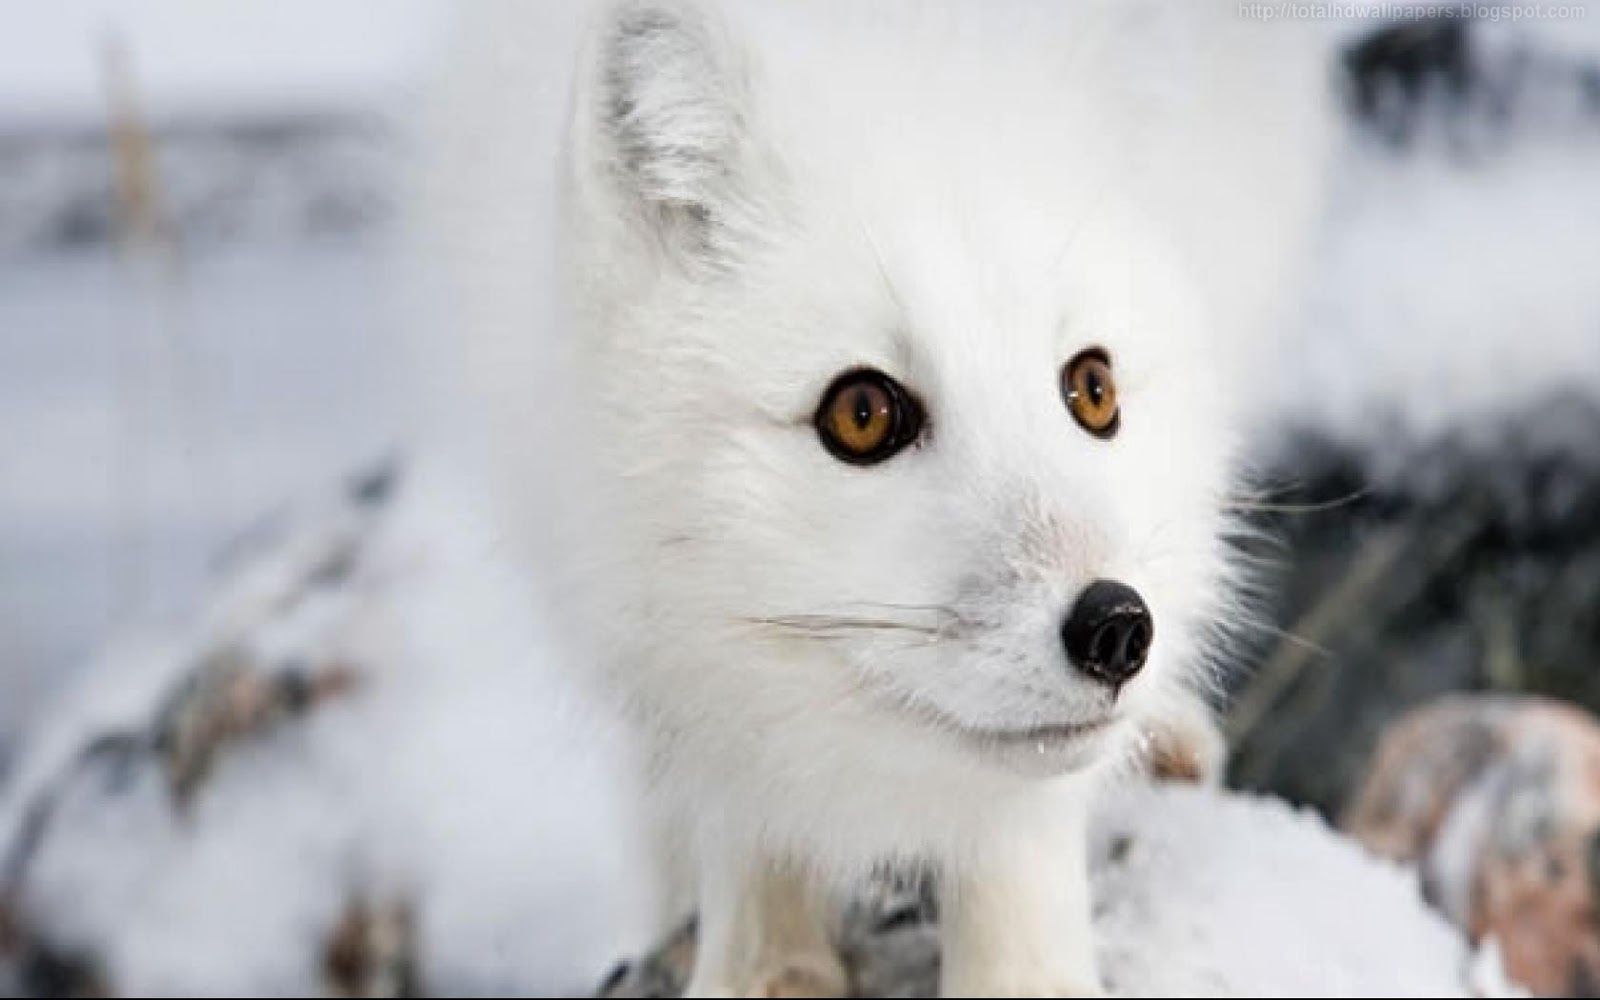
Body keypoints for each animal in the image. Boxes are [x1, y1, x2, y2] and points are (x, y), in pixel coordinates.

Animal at [430, 1, 1332, 995]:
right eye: (861, 414)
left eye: (1093, 390)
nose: (1117, 629)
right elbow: (734, 795)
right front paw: (761, 964)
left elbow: (1020, 830)